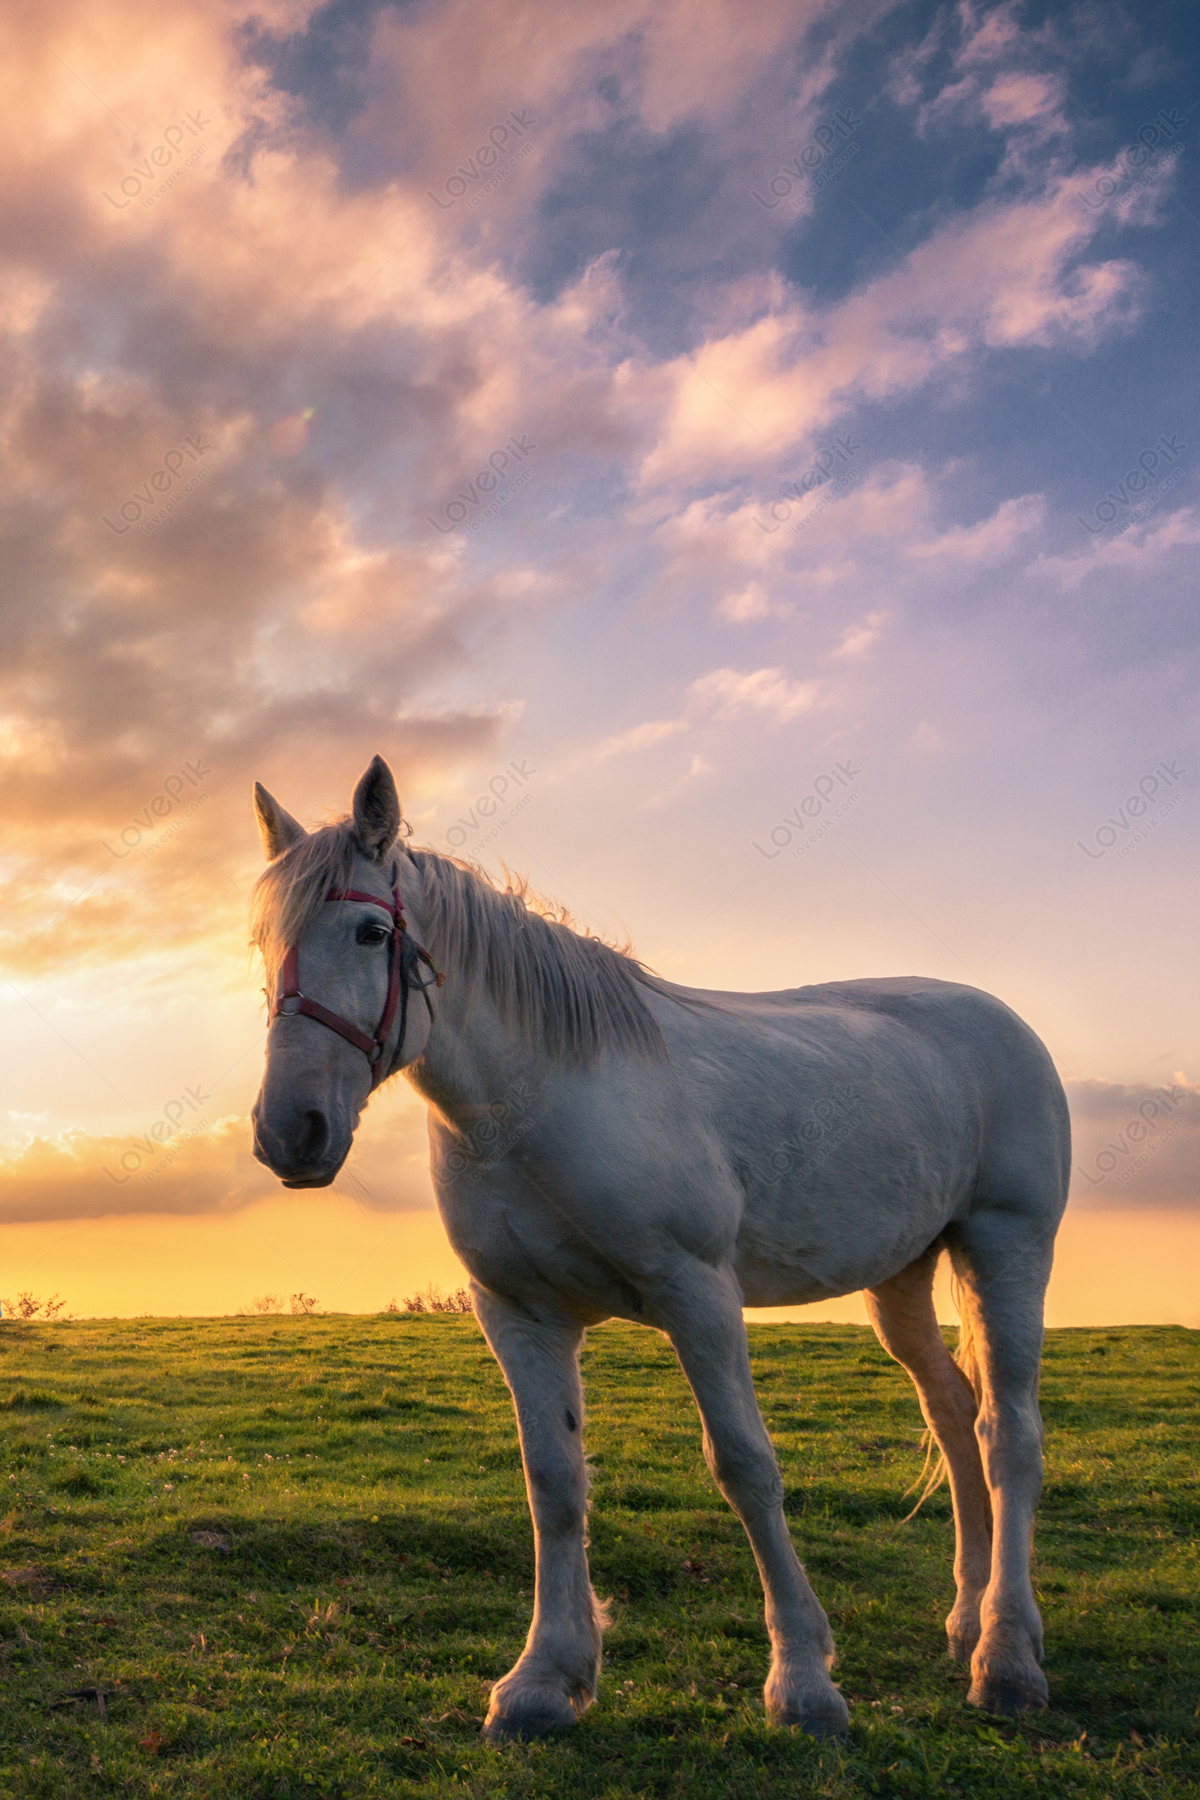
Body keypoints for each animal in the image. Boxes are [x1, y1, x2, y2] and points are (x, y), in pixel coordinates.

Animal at [251, 756, 1072, 1742]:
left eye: (372, 932)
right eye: (264, 942)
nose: (290, 1131)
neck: (545, 1098)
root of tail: (998, 1020)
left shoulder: (699, 1298)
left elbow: (746, 1468)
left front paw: (803, 1682)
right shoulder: (520, 1314)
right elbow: (554, 1482)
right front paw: (543, 1680)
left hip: (1007, 1245)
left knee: (1008, 1433)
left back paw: (1009, 1657)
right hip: (902, 1278)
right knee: (952, 1413)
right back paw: (967, 1619)